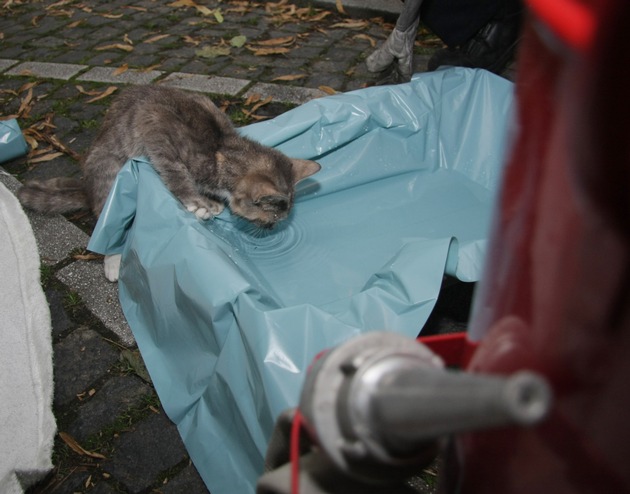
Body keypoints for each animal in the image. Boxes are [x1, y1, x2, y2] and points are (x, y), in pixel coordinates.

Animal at [19, 83, 320, 280]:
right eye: (270, 218)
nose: (272, 229)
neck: (221, 148)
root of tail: (86, 187)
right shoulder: (155, 124)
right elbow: (174, 170)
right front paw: (197, 202)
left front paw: (211, 200)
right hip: (108, 170)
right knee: (107, 220)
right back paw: (113, 261)